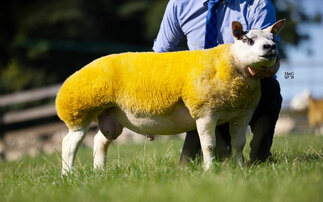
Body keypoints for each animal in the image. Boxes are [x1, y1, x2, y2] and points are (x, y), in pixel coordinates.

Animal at [55, 19, 286, 174]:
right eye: (247, 39)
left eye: (273, 38)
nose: (271, 48)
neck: (229, 64)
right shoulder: (205, 111)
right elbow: (209, 145)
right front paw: (209, 170)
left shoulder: (243, 113)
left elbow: (239, 144)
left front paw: (240, 169)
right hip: (79, 112)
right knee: (69, 143)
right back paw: (68, 175)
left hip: (112, 116)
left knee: (100, 141)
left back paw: (99, 172)